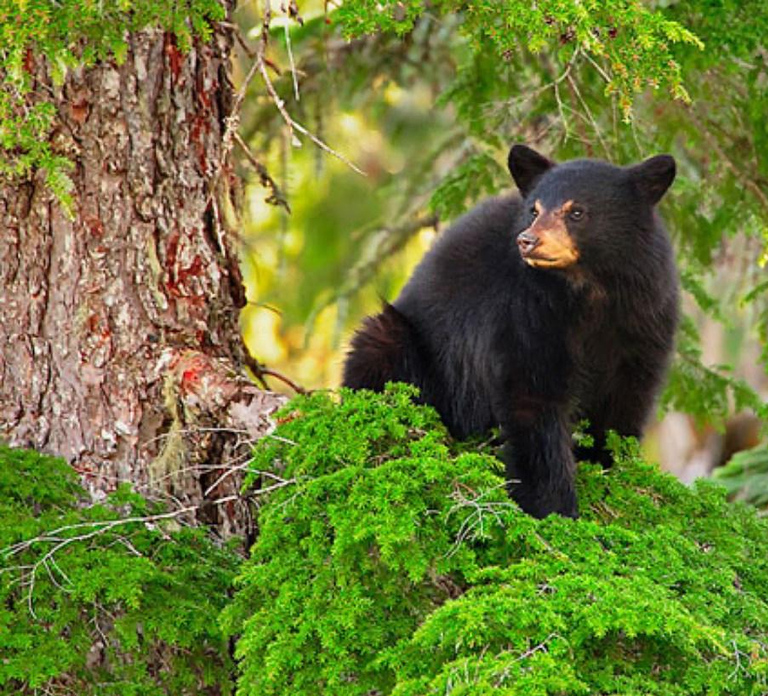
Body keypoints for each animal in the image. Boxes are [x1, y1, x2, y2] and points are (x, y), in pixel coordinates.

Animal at [343, 144, 679, 519]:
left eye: (576, 212)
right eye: (534, 209)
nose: (527, 240)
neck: (588, 291)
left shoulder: (643, 320)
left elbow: (625, 399)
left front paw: (607, 466)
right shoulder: (524, 313)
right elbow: (532, 398)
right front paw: (555, 507)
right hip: (404, 344)